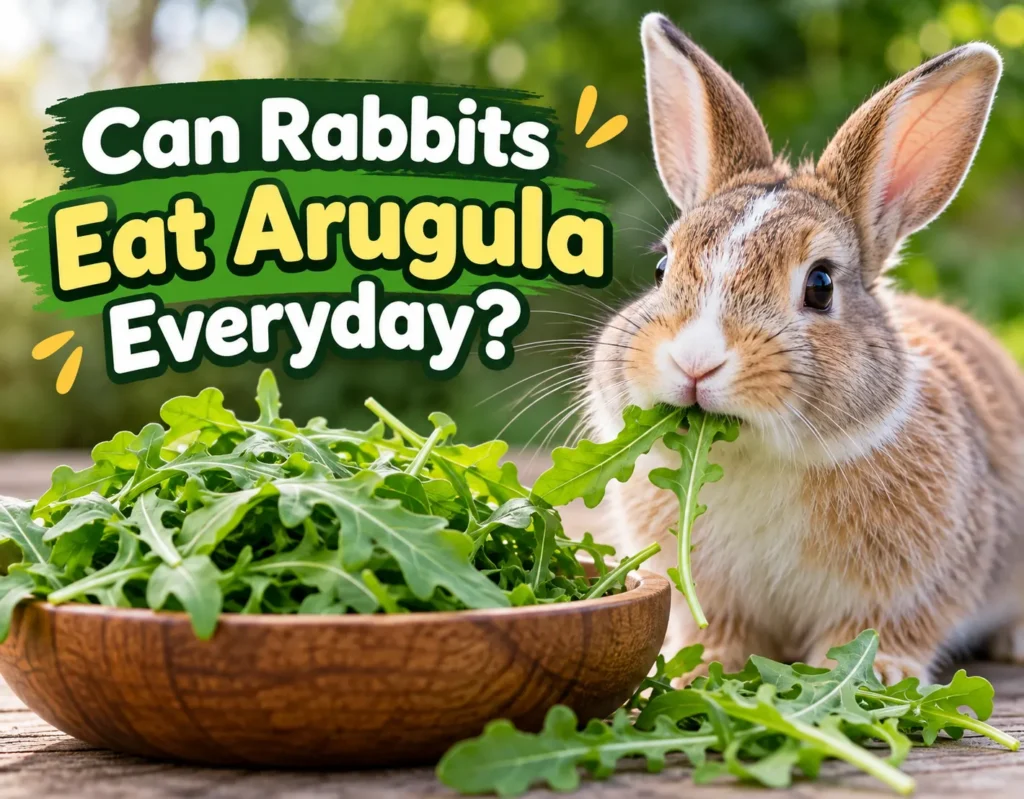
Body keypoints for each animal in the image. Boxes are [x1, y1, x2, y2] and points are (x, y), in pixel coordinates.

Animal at [585, 12, 1024, 685]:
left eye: (820, 285)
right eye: (661, 268)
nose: (695, 362)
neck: (754, 454)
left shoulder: (912, 587)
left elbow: (882, 629)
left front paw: (879, 673)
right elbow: (717, 628)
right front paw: (700, 669)